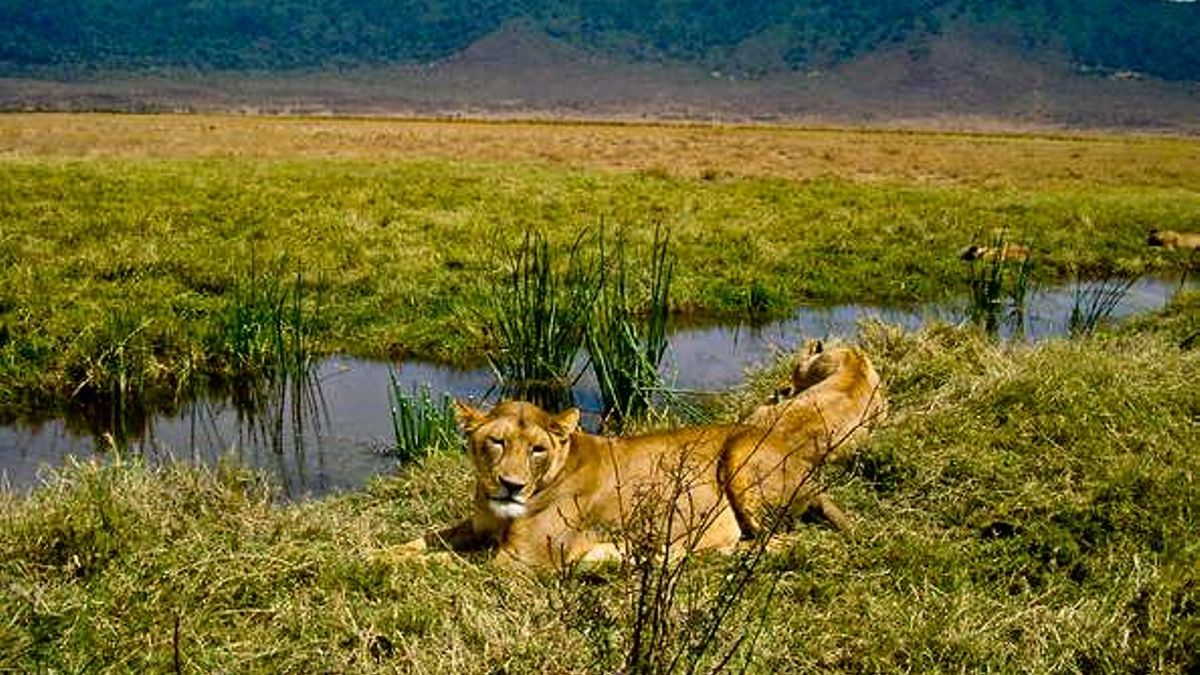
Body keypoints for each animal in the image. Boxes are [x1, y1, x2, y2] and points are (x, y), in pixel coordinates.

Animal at [395, 344, 886, 568]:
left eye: (537, 449)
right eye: (496, 442)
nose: (511, 485)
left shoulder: (521, 561)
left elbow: (448, 564)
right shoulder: (477, 528)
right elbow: (427, 540)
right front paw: (385, 551)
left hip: (742, 457)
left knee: (772, 542)